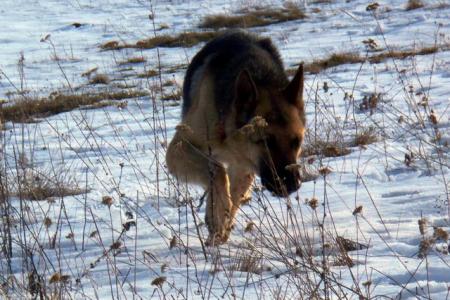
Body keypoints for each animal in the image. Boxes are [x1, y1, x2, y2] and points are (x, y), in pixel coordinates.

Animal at [166, 30, 306, 245]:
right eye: (266, 141)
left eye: (296, 142)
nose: (292, 185)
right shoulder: (178, 149)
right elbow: (217, 172)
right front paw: (217, 213)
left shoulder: (244, 165)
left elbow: (230, 191)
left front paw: (219, 223)